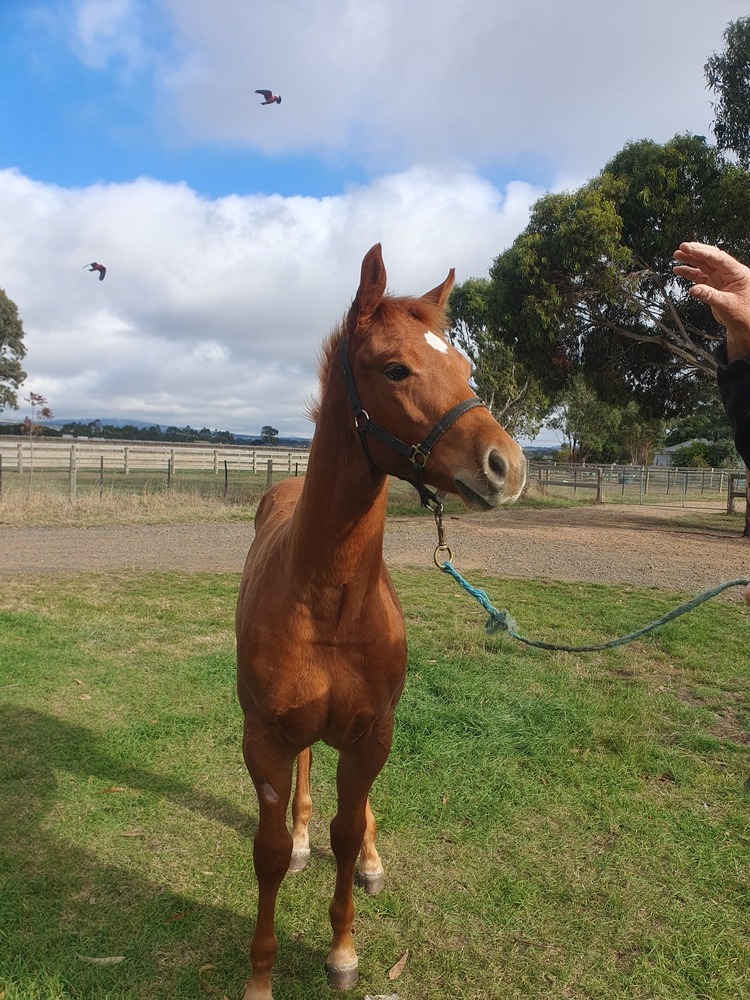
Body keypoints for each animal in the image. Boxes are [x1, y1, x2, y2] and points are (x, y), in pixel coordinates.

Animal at [235, 243, 527, 999]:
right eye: (395, 368)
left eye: (467, 369)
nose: (509, 467)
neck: (330, 602)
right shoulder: (264, 739)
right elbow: (269, 851)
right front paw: (260, 974)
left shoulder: (373, 734)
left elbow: (348, 829)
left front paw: (342, 951)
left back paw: (368, 859)